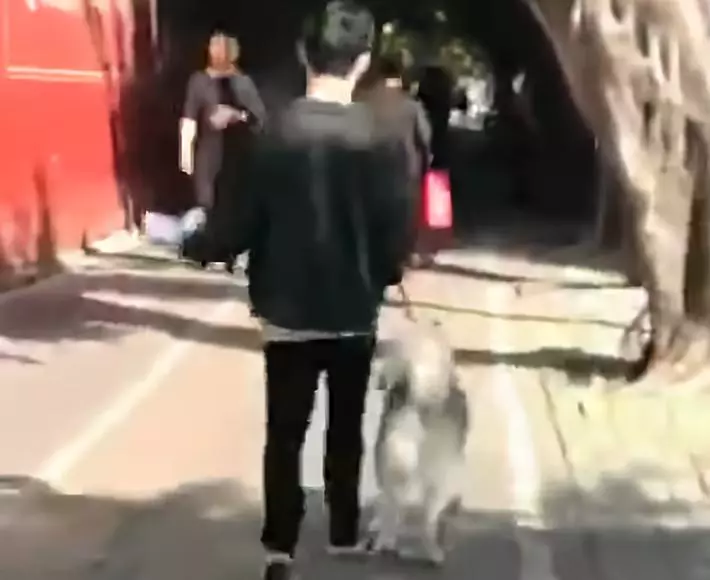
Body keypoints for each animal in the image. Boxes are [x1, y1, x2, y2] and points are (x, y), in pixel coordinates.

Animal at [369, 318, 468, 565]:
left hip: (399, 465)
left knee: (396, 509)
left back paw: (386, 542)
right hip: (434, 477)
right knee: (422, 519)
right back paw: (431, 552)